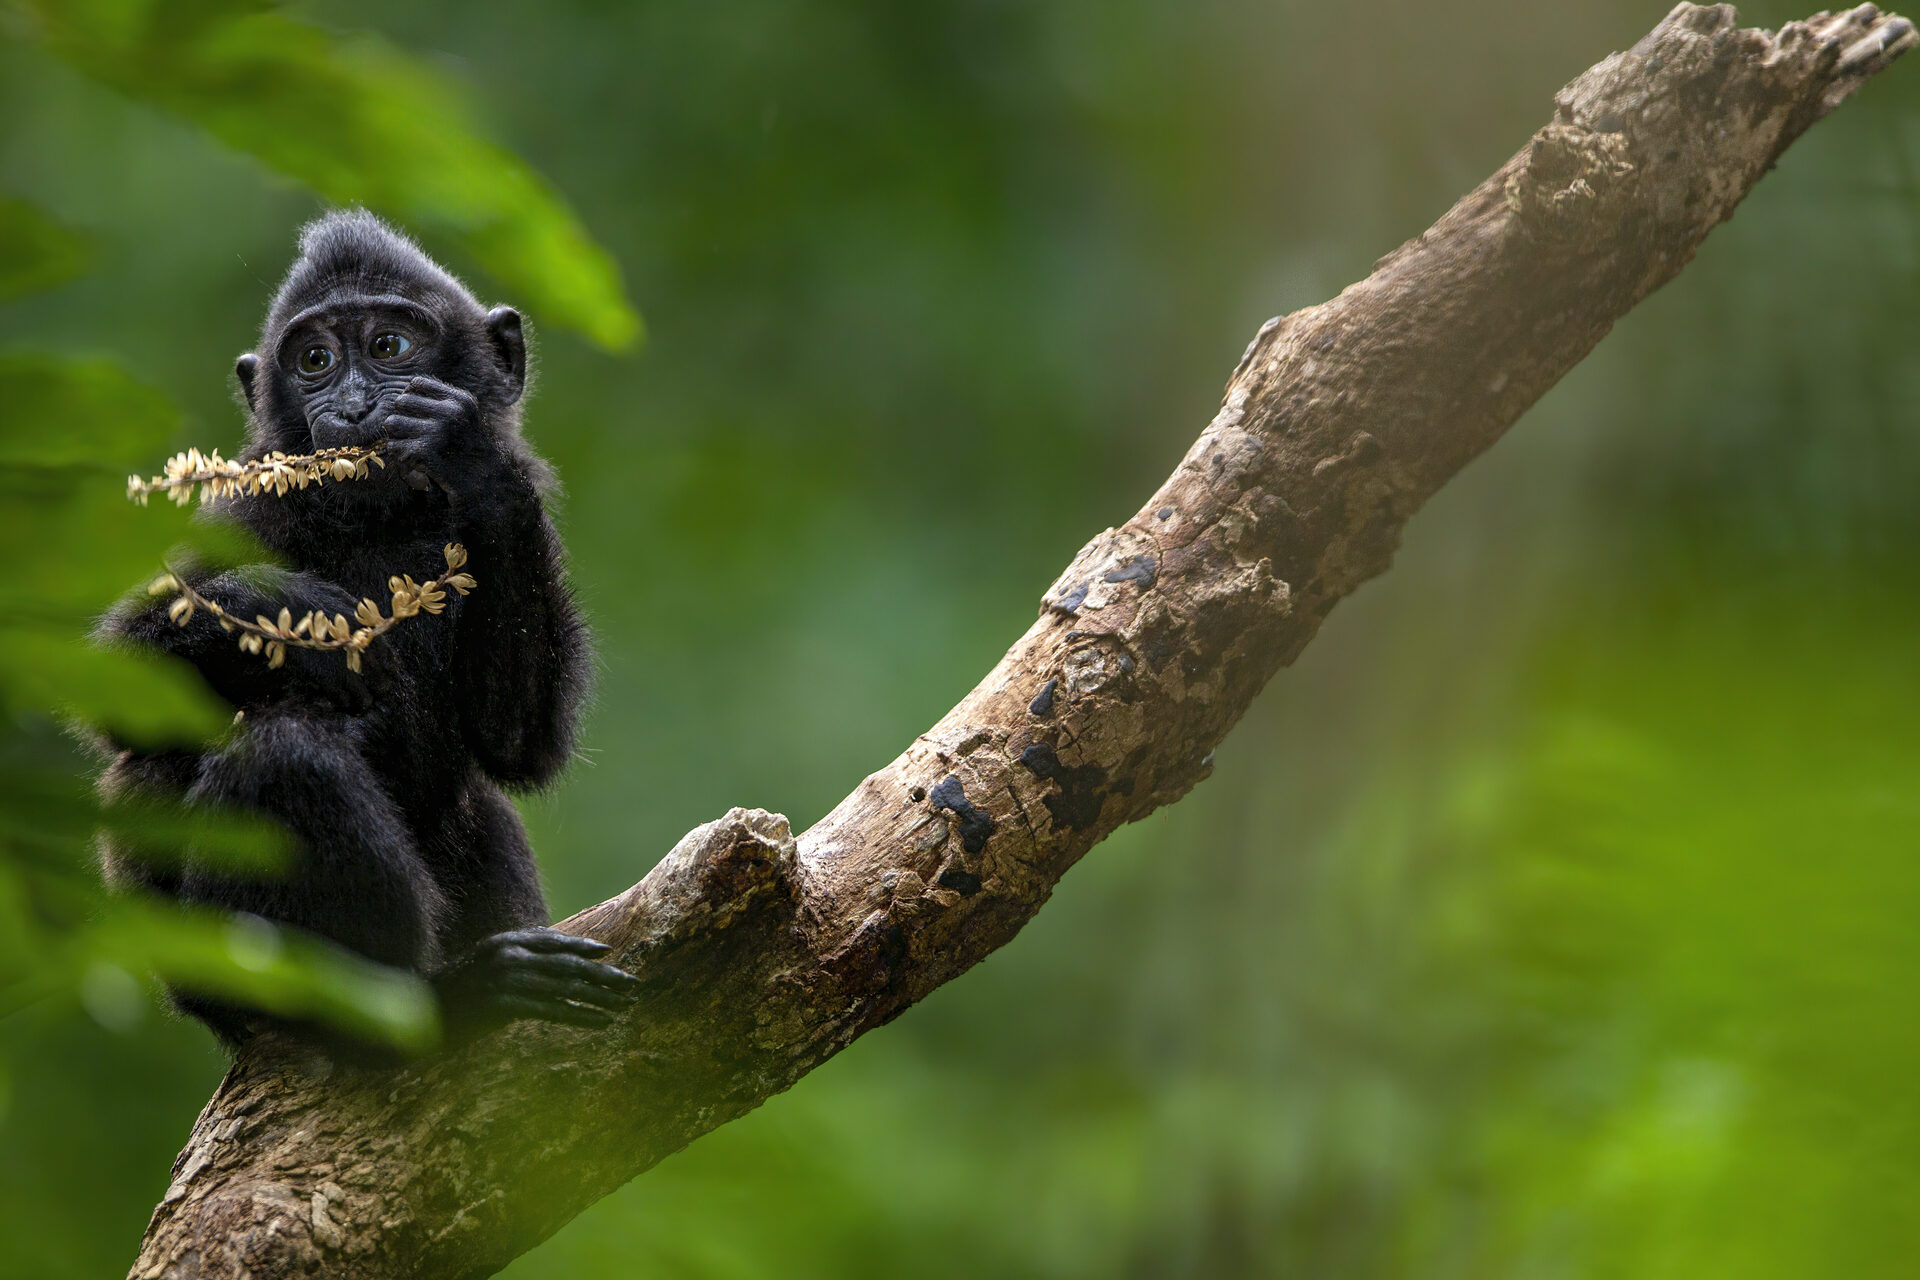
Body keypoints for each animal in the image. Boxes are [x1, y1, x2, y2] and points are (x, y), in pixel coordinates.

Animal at [96, 210, 637, 1051]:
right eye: (314, 360)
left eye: (389, 346)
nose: (351, 408)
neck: (380, 520)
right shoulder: (245, 512)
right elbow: (121, 677)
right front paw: (311, 624)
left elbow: (516, 745)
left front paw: (468, 453)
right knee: (277, 752)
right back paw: (437, 1003)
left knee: (474, 798)